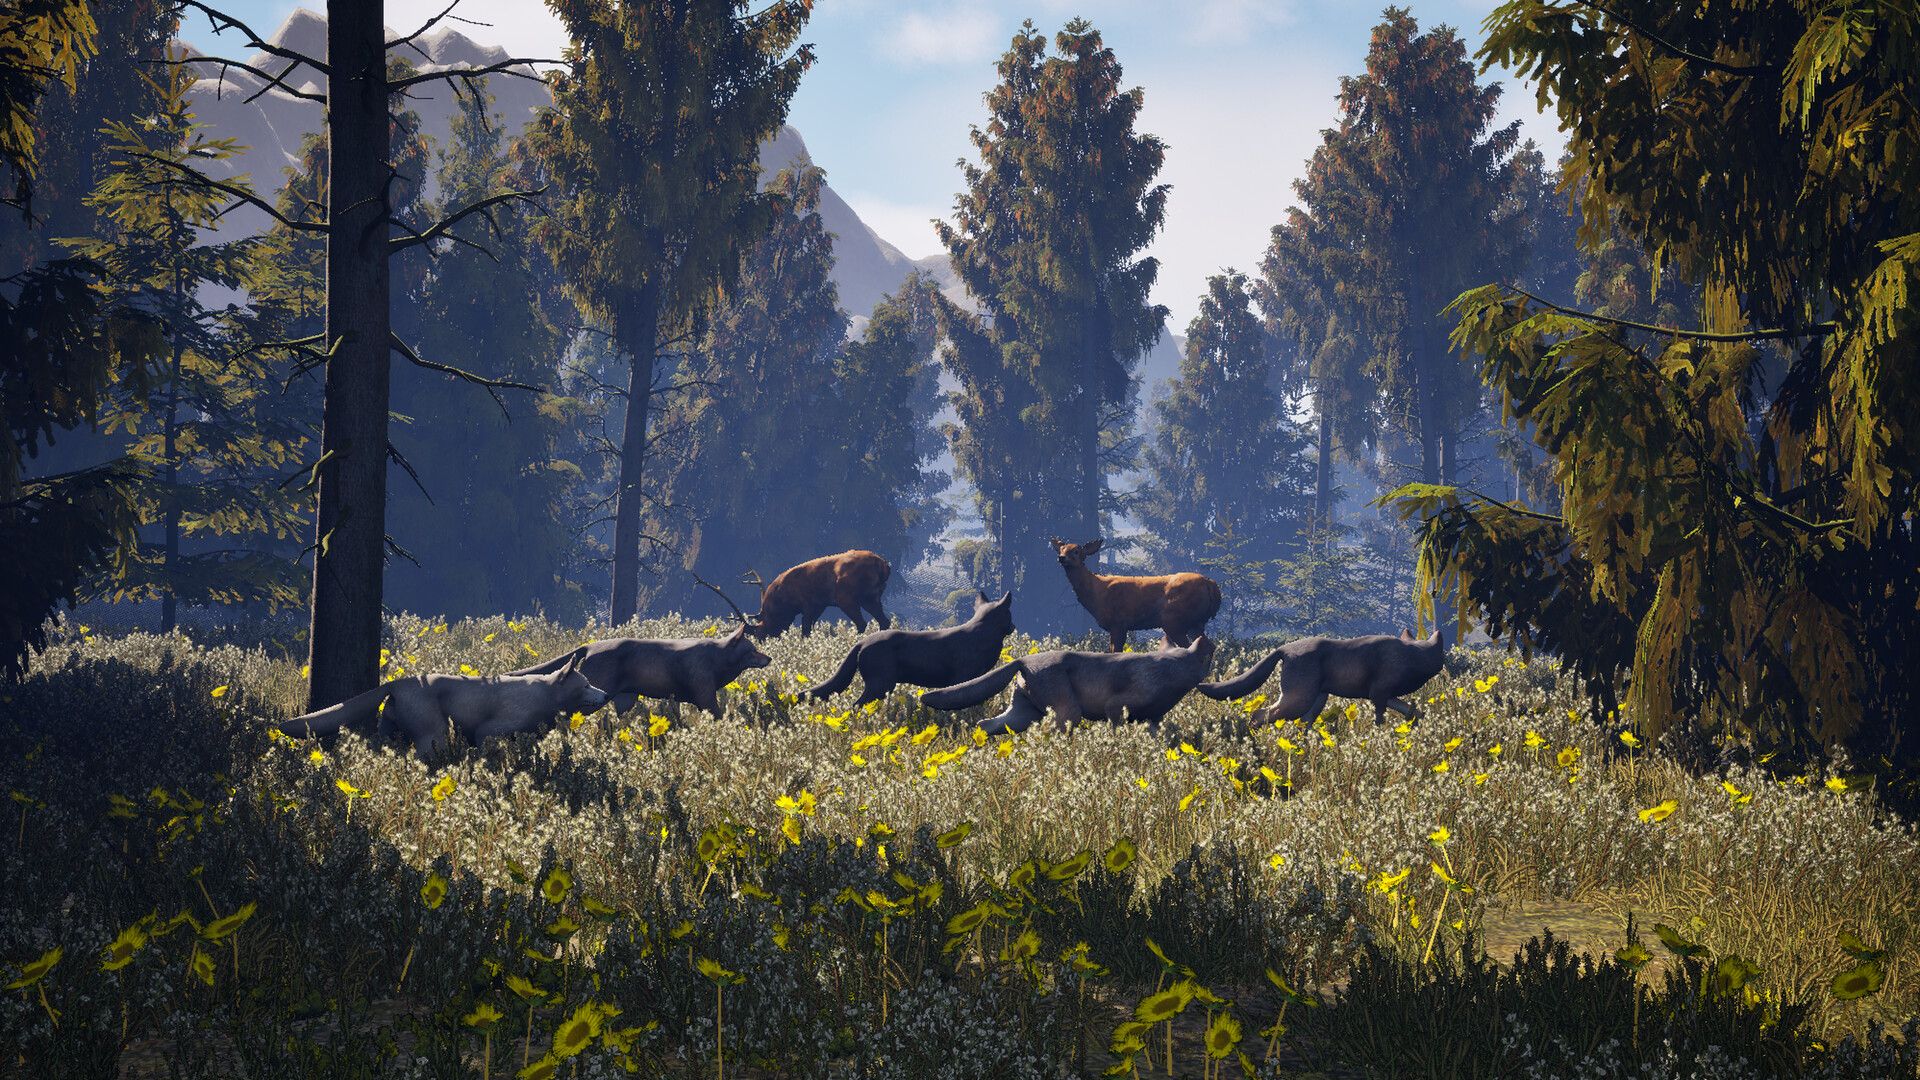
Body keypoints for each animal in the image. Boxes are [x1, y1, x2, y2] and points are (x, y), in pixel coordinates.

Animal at [277, 646, 610, 758]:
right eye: (585, 685)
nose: (606, 695)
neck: (547, 695)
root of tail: (397, 682)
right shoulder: (488, 731)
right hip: (434, 733)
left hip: (391, 728)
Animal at [506, 624, 771, 716]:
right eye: (752, 650)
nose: (769, 658)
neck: (720, 660)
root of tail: (589, 646)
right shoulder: (705, 696)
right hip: (596, 694)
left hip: (625, 698)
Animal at [806, 591, 1014, 706]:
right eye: (1009, 614)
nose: (1013, 626)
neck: (984, 633)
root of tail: (862, 642)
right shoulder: (964, 677)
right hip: (880, 684)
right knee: (856, 705)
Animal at [918, 636, 1217, 735]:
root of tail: (1021, 660)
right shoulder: (1116, 706)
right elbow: (1118, 729)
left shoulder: (1153, 719)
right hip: (1068, 711)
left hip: (1023, 712)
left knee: (987, 724)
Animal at [1197, 629, 1448, 726]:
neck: (1412, 655)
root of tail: (1284, 649)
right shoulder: (1378, 695)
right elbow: (1380, 719)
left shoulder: (1387, 696)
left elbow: (1413, 710)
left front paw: (1418, 722)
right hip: (1300, 699)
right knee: (1260, 714)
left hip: (1317, 701)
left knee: (1301, 724)